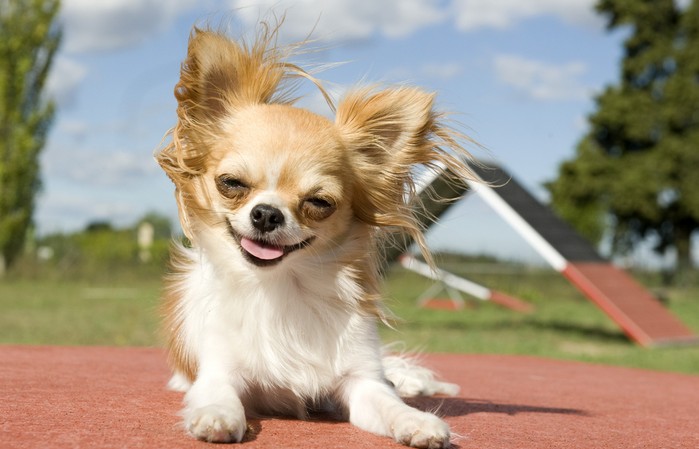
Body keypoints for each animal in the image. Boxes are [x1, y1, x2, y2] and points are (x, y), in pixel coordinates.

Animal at [157, 21, 476, 448]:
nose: (266, 214)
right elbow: (218, 393)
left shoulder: (362, 382)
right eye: (231, 183)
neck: (283, 288)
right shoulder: (219, 370)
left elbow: (388, 402)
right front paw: (217, 415)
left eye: (319, 202)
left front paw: (417, 420)